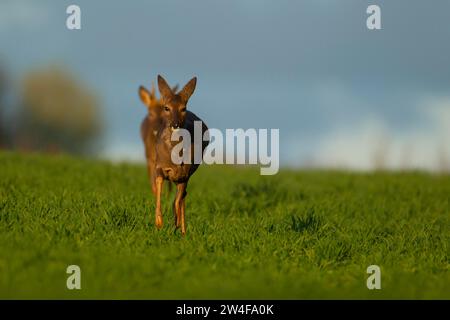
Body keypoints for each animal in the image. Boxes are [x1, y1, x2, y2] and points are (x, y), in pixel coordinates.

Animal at [138, 75, 208, 235]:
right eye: (167, 107)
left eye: (183, 108)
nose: (175, 124)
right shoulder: (158, 166)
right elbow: (157, 189)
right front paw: (159, 223)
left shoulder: (184, 173)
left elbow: (177, 201)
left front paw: (176, 224)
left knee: (183, 196)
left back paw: (182, 229)